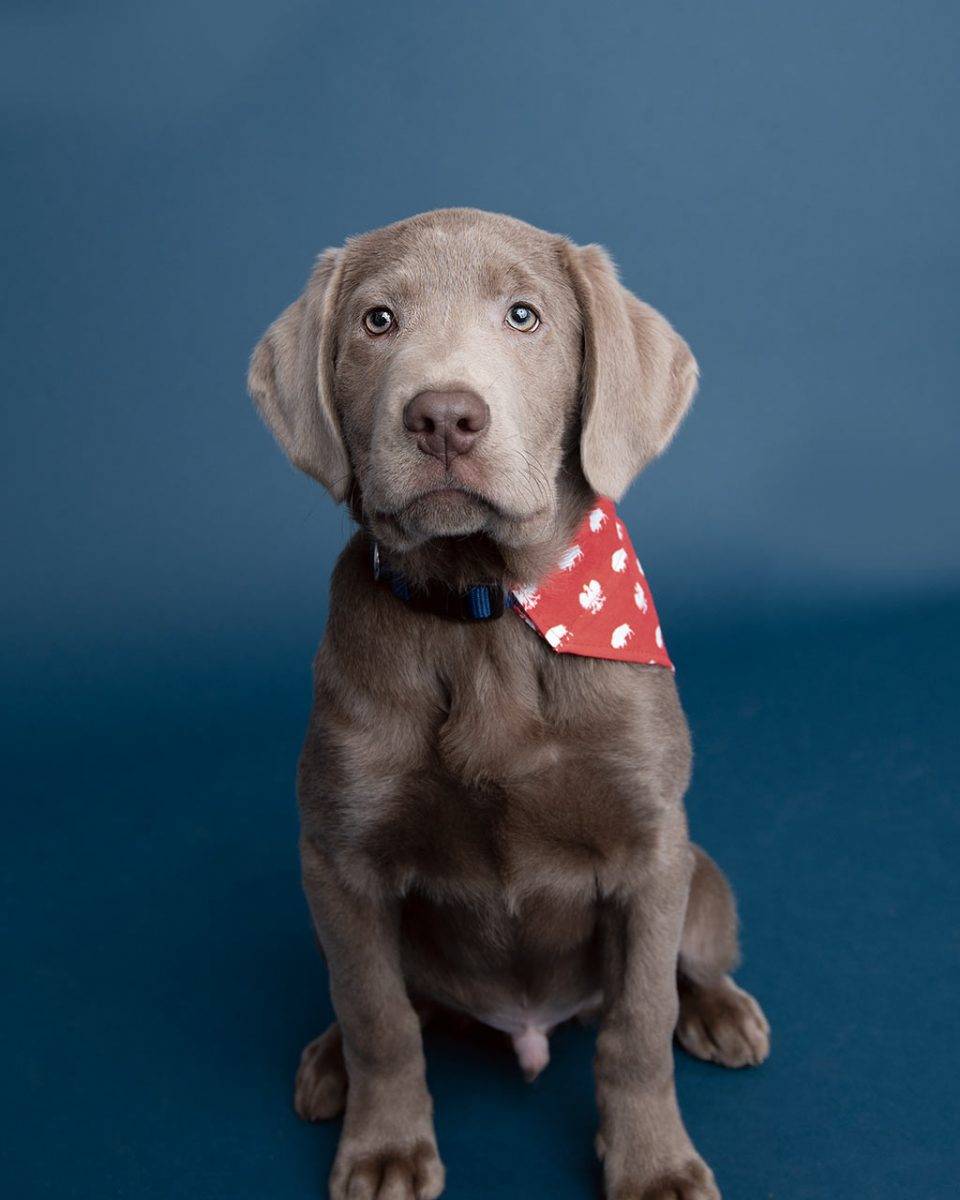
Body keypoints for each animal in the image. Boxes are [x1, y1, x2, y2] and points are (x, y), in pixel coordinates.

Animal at [249, 208, 772, 1200]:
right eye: (377, 322)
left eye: (524, 316)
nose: (443, 417)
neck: (484, 610)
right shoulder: (339, 856)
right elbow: (378, 1016)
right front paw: (385, 1149)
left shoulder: (651, 849)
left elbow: (637, 1022)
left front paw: (654, 1163)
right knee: (385, 1000)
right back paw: (329, 1064)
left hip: (702, 877)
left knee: (690, 965)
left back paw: (722, 1012)